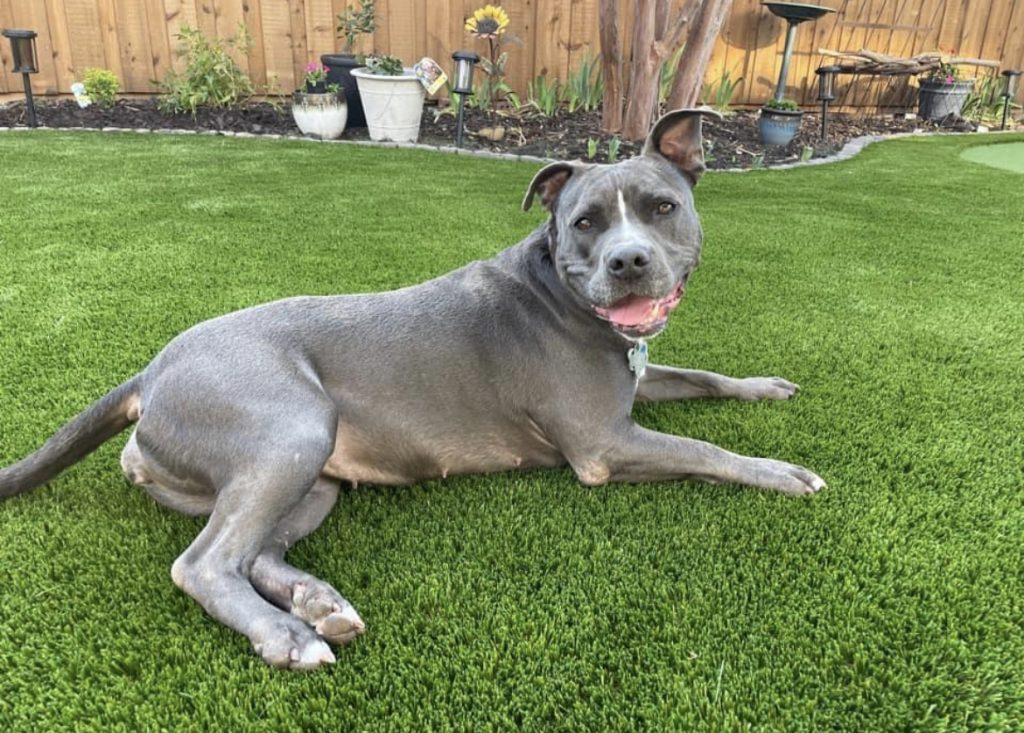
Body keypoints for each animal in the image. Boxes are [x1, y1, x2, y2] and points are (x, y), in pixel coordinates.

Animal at [0, 110, 823, 671]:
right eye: (585, 221)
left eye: (661, 207)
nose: (628, 262)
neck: (559, 289)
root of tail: (150, 372)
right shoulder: (604, 443)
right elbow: (704, 448)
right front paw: (780, 471)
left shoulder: (635, 386)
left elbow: (703, 379)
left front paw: (764, 386)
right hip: (292, 428)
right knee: (205, 564)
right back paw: (288, 635)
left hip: (311, 477)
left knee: (254, 554)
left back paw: (318, 602)